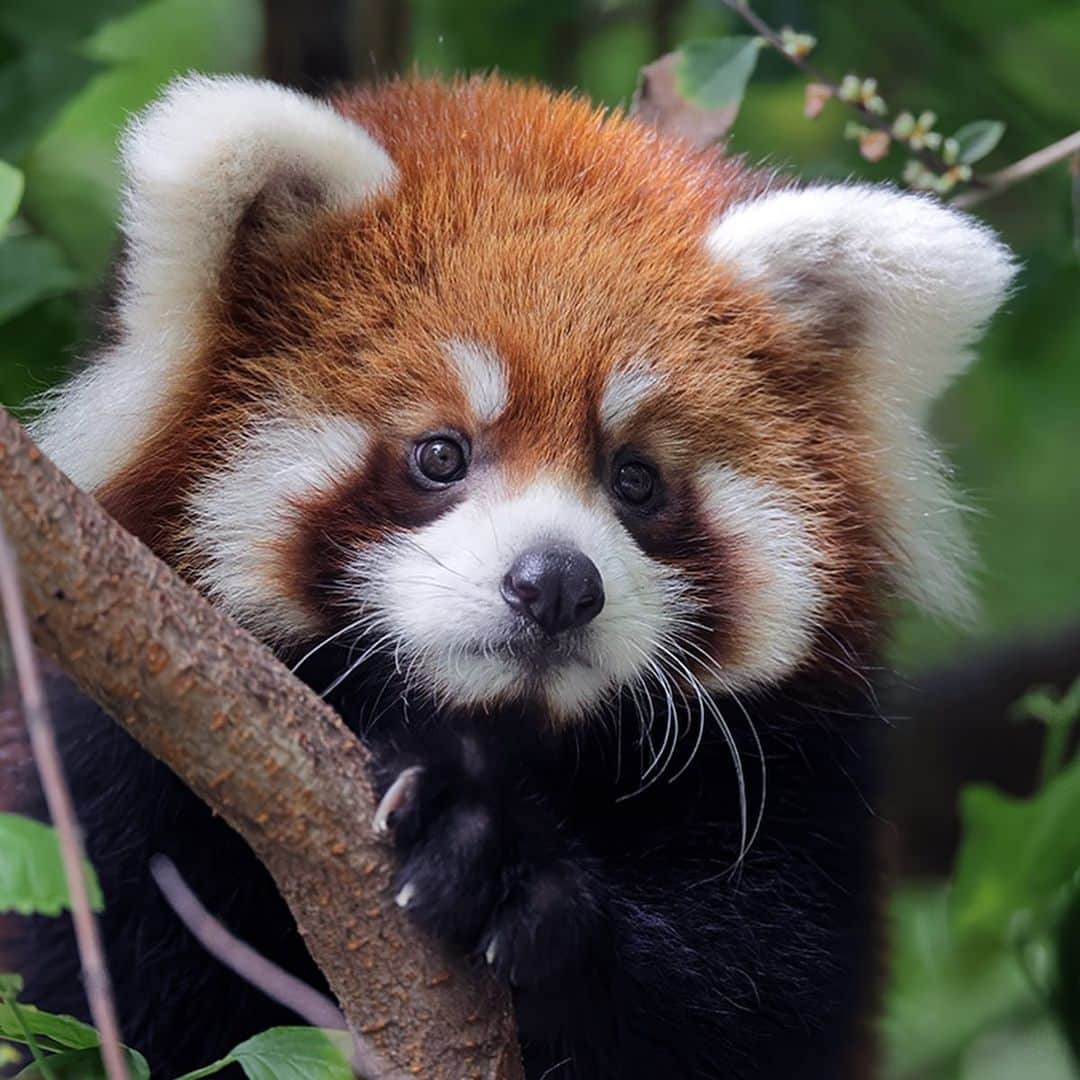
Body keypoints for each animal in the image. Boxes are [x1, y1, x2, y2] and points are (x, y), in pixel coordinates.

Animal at [19, 76, 1010, 1080]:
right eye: (441, 454)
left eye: (636, 479)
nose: (557, 583)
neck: (498, 737)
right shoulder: (108, 799)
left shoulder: (801, 816)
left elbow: (743, 1002)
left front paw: (499, 867)